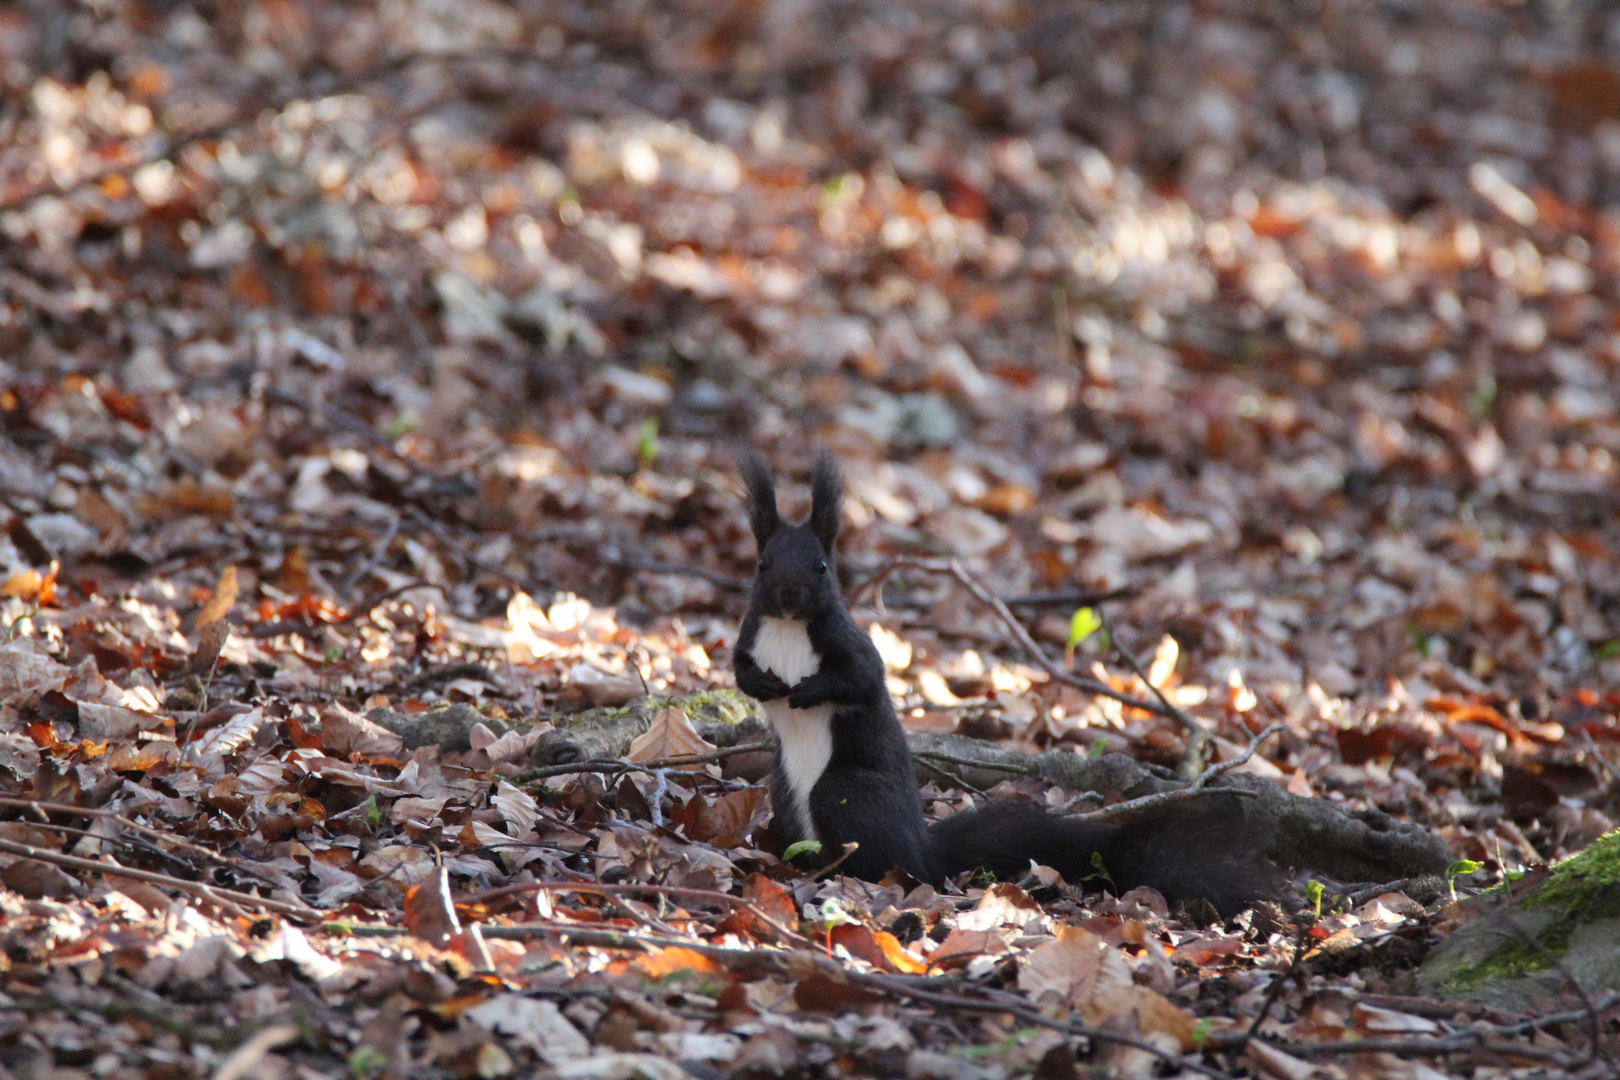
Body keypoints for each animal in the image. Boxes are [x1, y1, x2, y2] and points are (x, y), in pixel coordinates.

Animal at [735, 453, 1276, 919]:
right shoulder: (749, 634)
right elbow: (738, 669)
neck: (788, 627)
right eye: (762, 564)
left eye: (822, 566)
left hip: (847, 793)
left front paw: (807, 690)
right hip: (783, 792)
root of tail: (922, 850)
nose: (789, 596)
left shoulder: (850, 643)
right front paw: (763, 685)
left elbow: (861, 677)